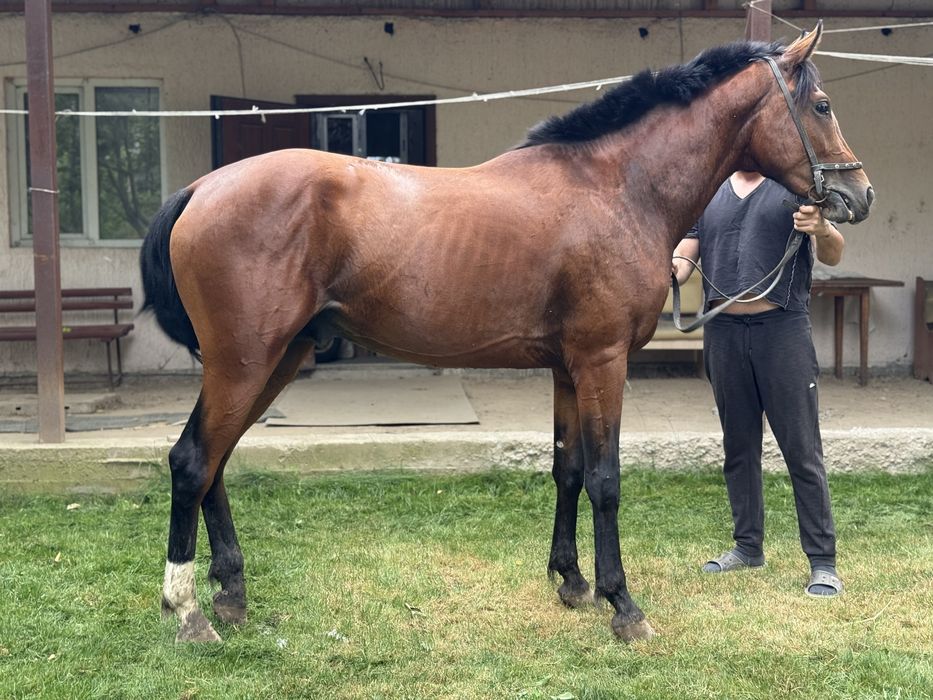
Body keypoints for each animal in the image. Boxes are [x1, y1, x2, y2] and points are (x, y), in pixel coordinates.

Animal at [142, 24, 873, 643]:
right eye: (822, 105)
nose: (858, 196)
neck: (617, 187)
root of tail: (203, 187)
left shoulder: (567, 367)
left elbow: (567, 469)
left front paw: (572, 582)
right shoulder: (602, 361)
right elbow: (605, 478)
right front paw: (623, 605)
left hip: (277, 359)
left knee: (217, 463)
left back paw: (232, 594)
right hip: (245, 361)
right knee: (192, 462)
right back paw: (188, 612)